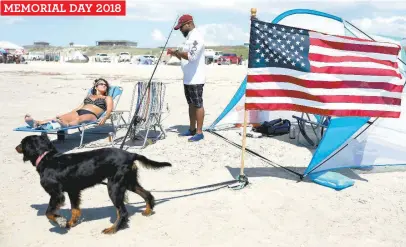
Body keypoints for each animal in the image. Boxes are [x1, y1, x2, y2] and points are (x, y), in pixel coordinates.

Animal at [15, 135, 171, 233]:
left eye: (22, 143)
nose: (16, 147)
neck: (46, 158)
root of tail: (131, 154)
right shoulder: (73, 191)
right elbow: (75, 210)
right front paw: (70, 223)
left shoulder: (56, 194)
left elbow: (48, 213)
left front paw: (60, 221)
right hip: (128, 182)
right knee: (147, 194)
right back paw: (148, 211)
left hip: (114, 186)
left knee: (122, 212)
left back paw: (113, 229)